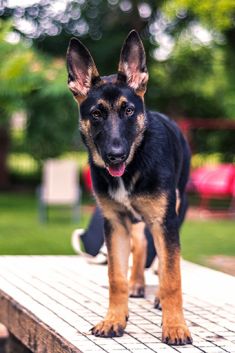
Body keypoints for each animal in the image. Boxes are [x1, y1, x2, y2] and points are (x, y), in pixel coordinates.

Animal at [66, 29, 193, 344]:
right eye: (96, 114)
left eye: (129, 111)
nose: (115, 155)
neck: (134, 163)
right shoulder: (115, 223)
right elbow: (116, 277)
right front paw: (114, 319)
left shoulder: (164, 222)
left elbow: (172, 277)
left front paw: (174, 325)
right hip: (135, 219)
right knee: (141, 242)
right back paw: (137, 284)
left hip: (175, 210)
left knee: (162, 260)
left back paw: (158, 298)